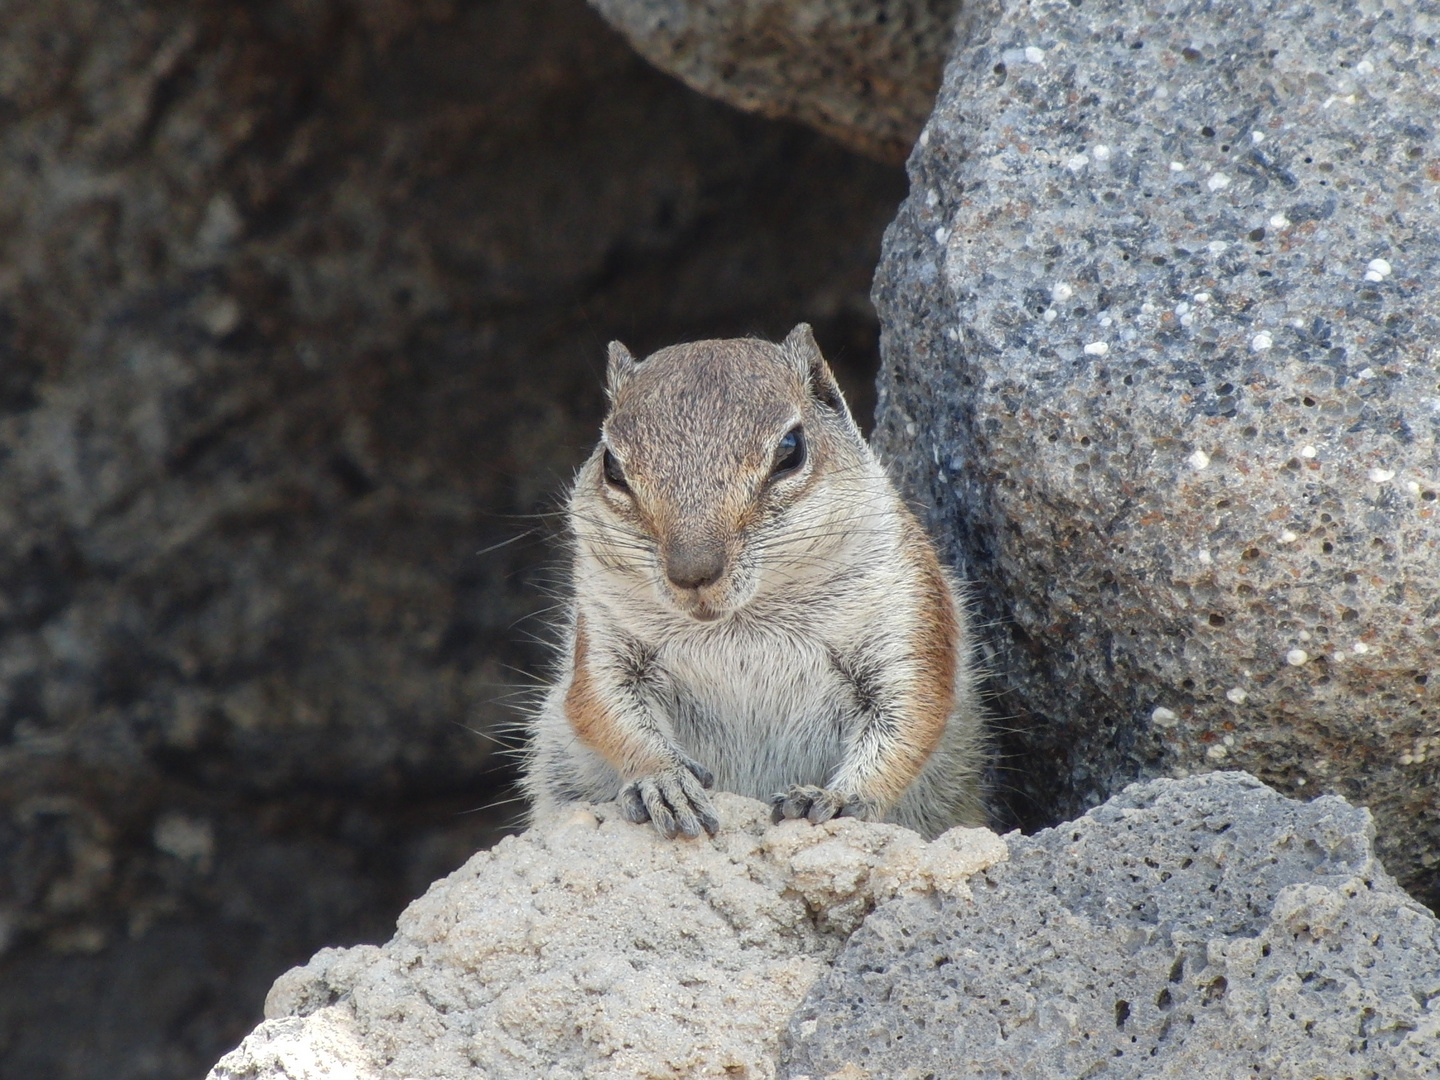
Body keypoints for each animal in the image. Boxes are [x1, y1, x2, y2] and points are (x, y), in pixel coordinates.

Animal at [524, 325, 984, 840]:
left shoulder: (907, 615)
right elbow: (601, 709)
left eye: (791, 450)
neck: (742, 622)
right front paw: (662, 779)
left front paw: (839, 798)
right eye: (611, 466)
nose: (692, 572)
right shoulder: (603, 637)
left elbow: (912, 715)